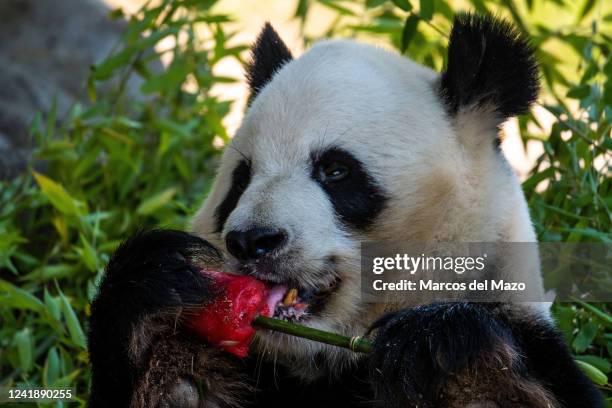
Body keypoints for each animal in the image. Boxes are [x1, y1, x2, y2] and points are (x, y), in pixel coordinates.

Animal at [86, 12, 604, 408]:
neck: (329, 355)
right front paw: (159, 281)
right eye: (242, 177)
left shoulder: (526, 332)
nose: (252, 241)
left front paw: (439, 346)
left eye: (335, 171)